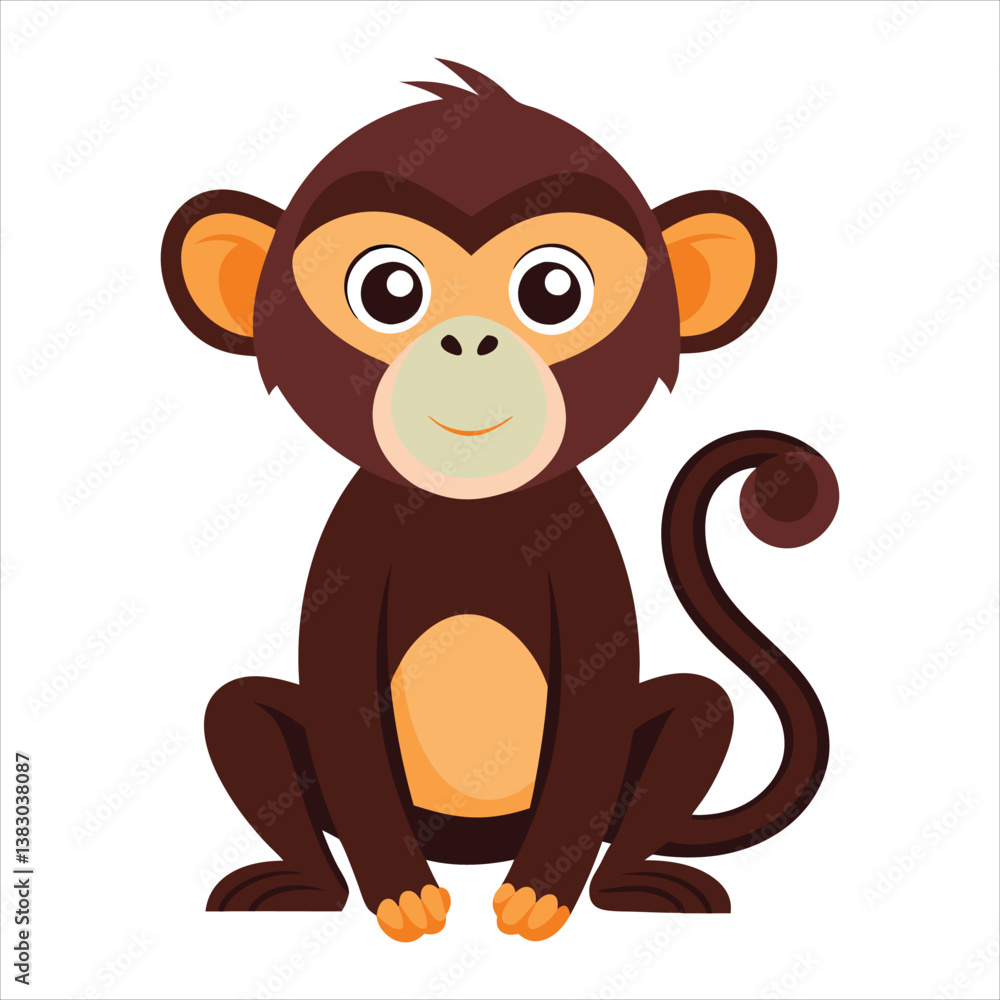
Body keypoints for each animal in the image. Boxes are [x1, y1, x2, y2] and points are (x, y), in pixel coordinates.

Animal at [161, 60, 838, 942]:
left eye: (553, 289)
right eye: (388, 289)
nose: (470, 340)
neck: (469, 510)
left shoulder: (583, 554)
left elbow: (596, 707)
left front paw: (543, 895)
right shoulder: (350, 551)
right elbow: (341, 709)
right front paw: (399, 896)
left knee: (699, 709)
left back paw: (631, 880)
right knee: (238, 713)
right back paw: (303, 883)